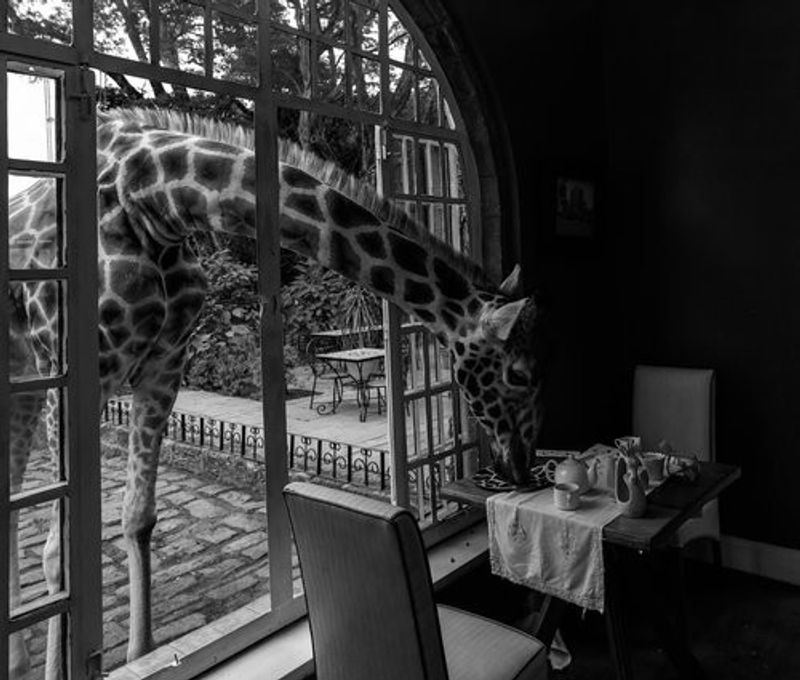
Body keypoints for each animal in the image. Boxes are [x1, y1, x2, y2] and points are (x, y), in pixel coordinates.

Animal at [7, 107, 544, 678]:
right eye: (518, 374)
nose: (520, 469)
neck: (156, 200)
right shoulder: (71, 374)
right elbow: (58, 555)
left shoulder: (164, 367)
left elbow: (138, 519)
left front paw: (141, 656)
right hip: (32, 377)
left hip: (22, 379)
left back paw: (17, 658)